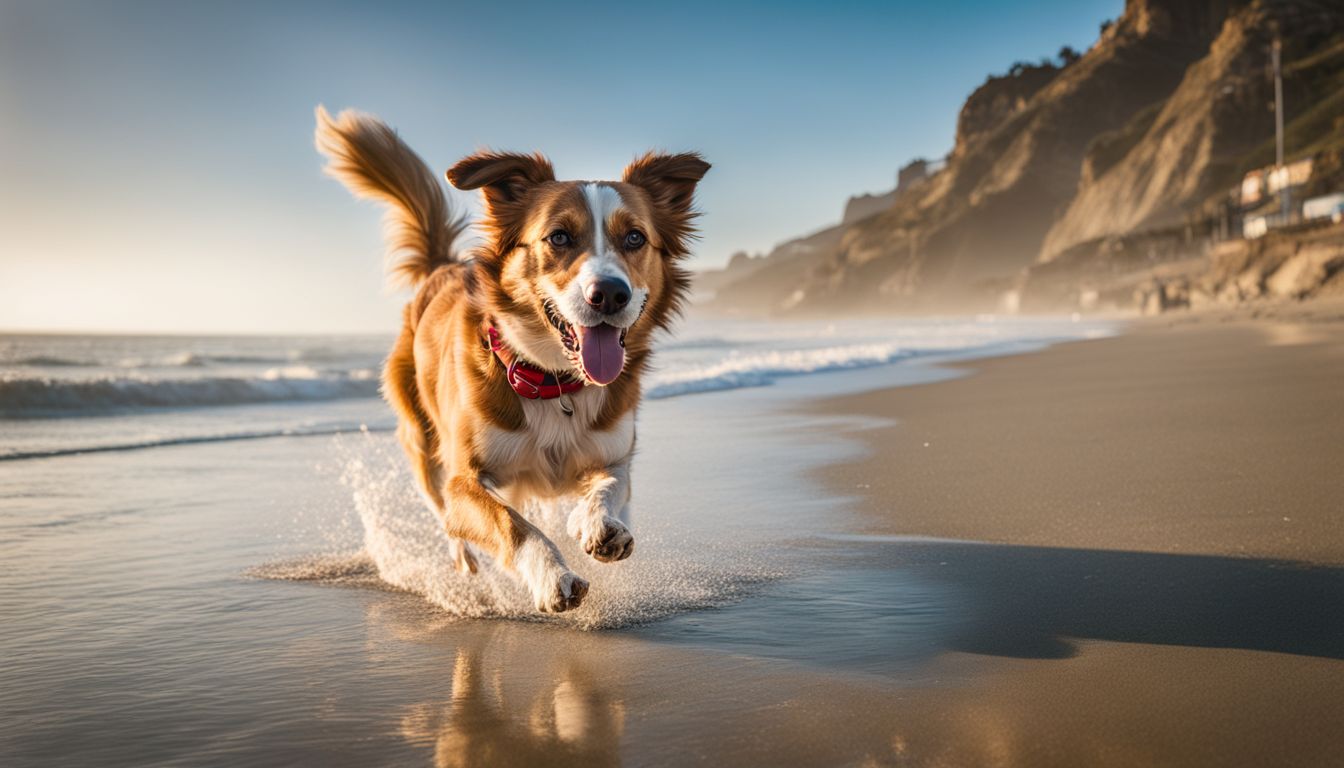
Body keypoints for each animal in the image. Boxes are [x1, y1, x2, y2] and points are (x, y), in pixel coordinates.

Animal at [315, 106, 715, 613]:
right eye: (558, 237)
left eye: (635, 238)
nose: (609, 293)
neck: (554, 380)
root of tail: (441, 266)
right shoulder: (465, 478)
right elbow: (510, 524)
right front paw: (551, 576)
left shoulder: (614, 452)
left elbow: (610, 486)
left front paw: (597, 524)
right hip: (422, 439)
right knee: (445, 509)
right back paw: (465, 559)